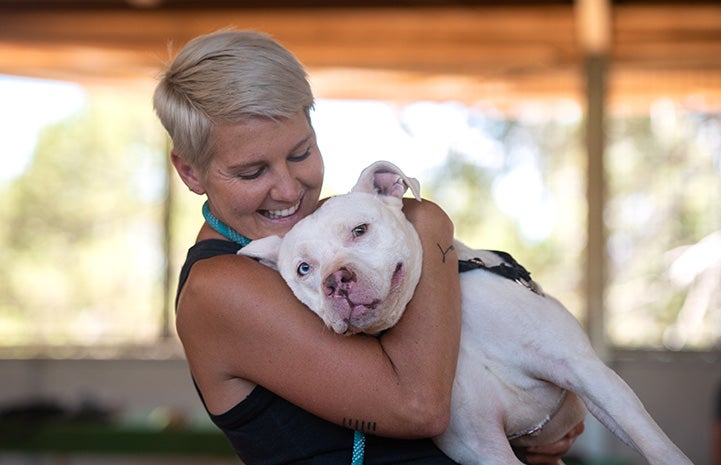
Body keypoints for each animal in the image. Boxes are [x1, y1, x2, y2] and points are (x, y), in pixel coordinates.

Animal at [240, 160, 692, 464]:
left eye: (360, 230)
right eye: (304, 269)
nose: (336, 280)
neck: (462, 326)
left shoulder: (590, 374)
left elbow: (658, 447)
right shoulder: (482, 444)